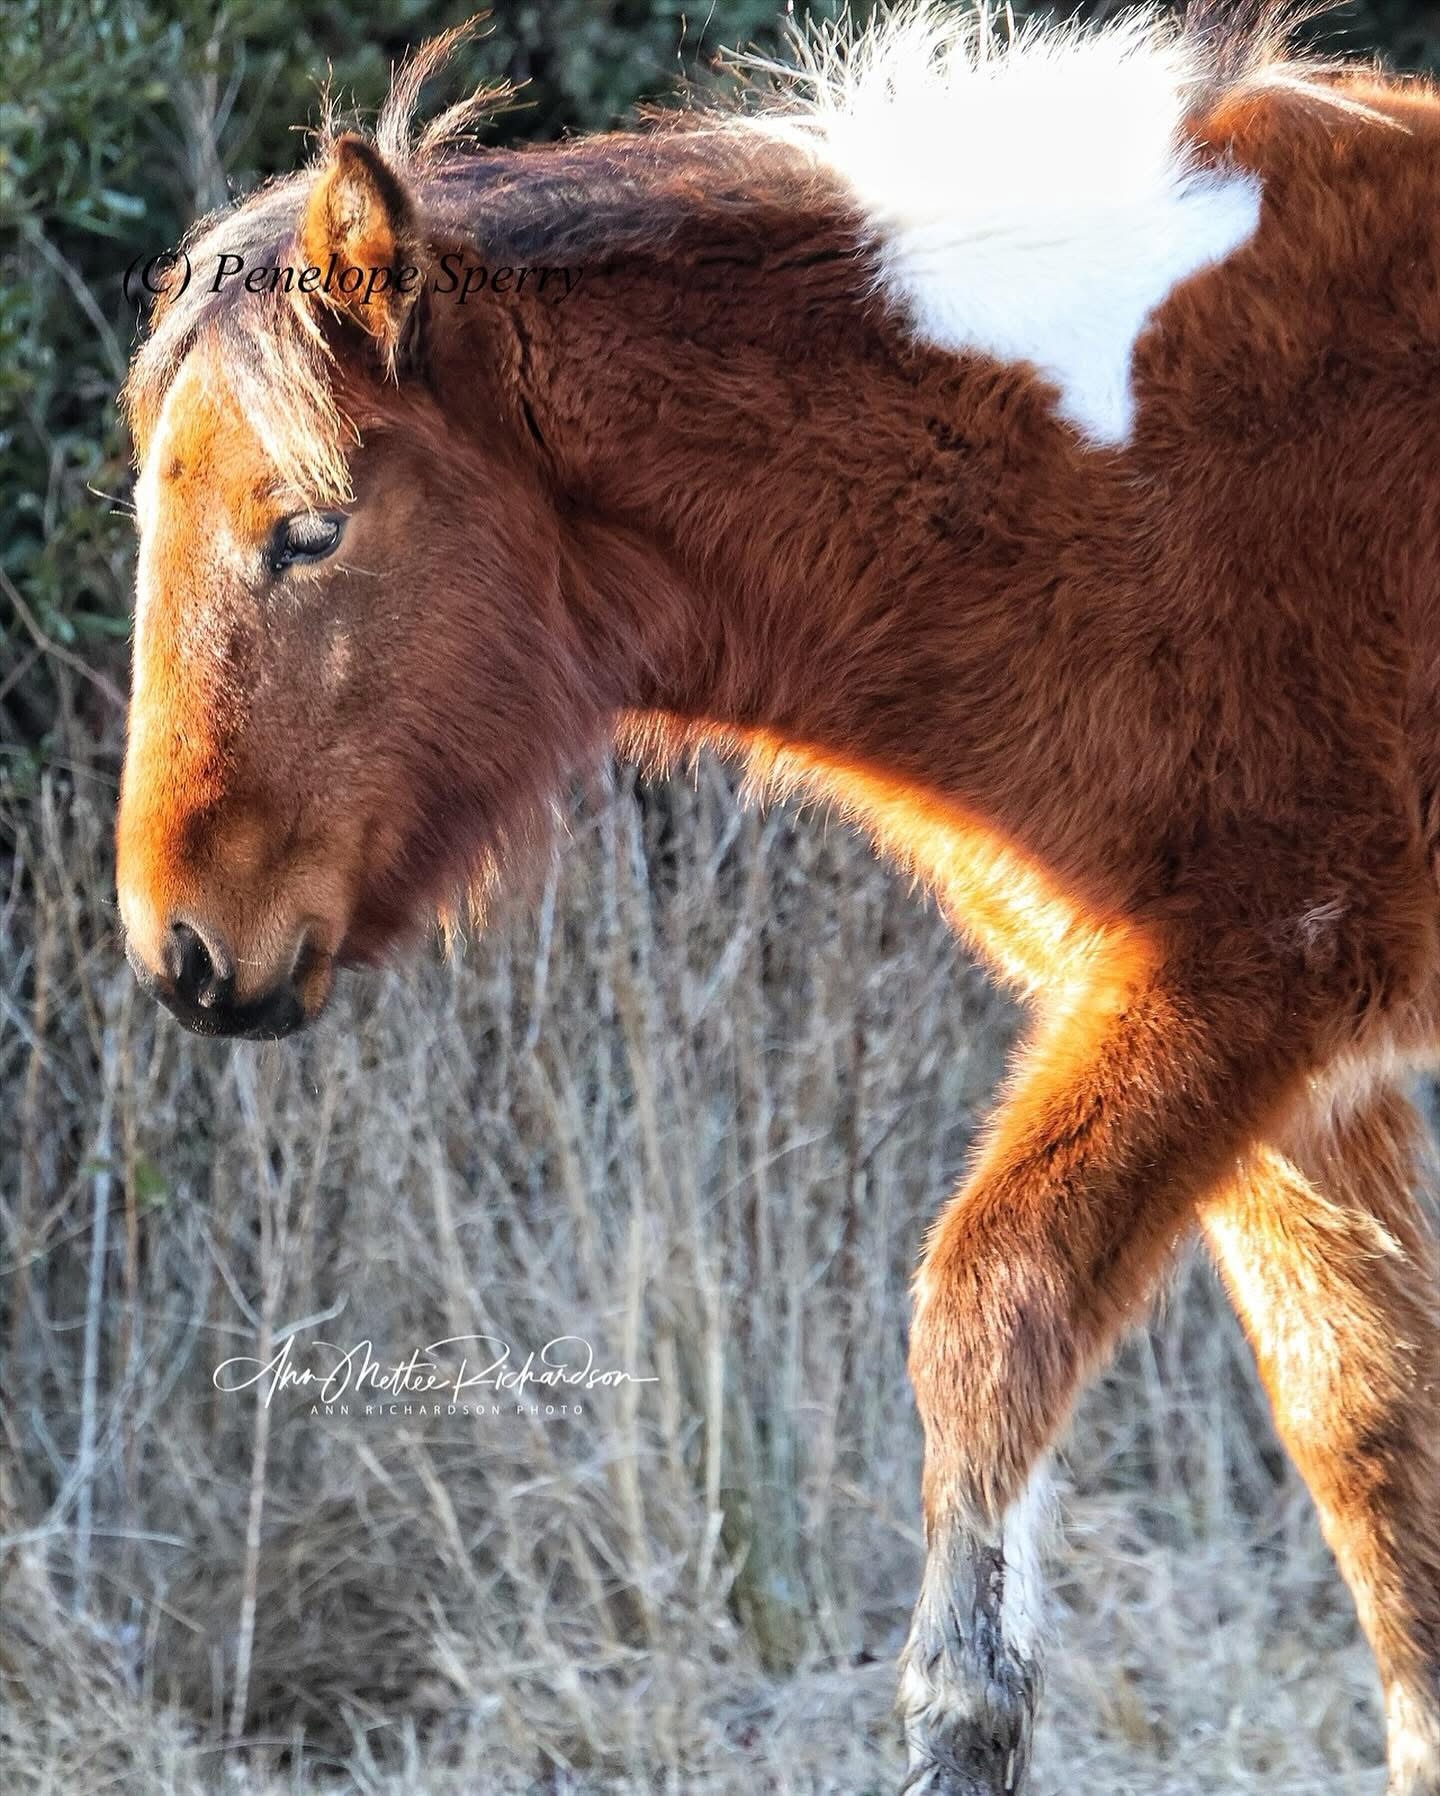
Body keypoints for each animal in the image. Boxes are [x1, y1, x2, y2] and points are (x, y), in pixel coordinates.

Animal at [117, 7, 1436, 1788]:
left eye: (308, 531)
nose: (181, 949)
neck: (1137, 472)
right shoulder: (1289, 1083)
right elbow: (1370, 1439)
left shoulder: (1237, 990)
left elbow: (988, 1312)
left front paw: (962, 1713)